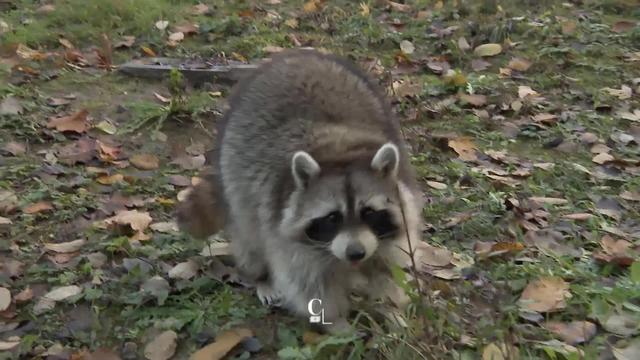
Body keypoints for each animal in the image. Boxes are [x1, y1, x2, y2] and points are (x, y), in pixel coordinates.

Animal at [212, 49, 422, 334]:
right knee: (250, 235)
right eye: (332, 217)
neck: (340, 153)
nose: (355, 253)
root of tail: (294, 54)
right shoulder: (285, 232)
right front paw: (335, 322)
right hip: (234, 176)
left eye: (369, 212)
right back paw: (261, 276)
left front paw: (390, 306)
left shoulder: (394, 226)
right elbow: (308, 284)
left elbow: (388, 266)